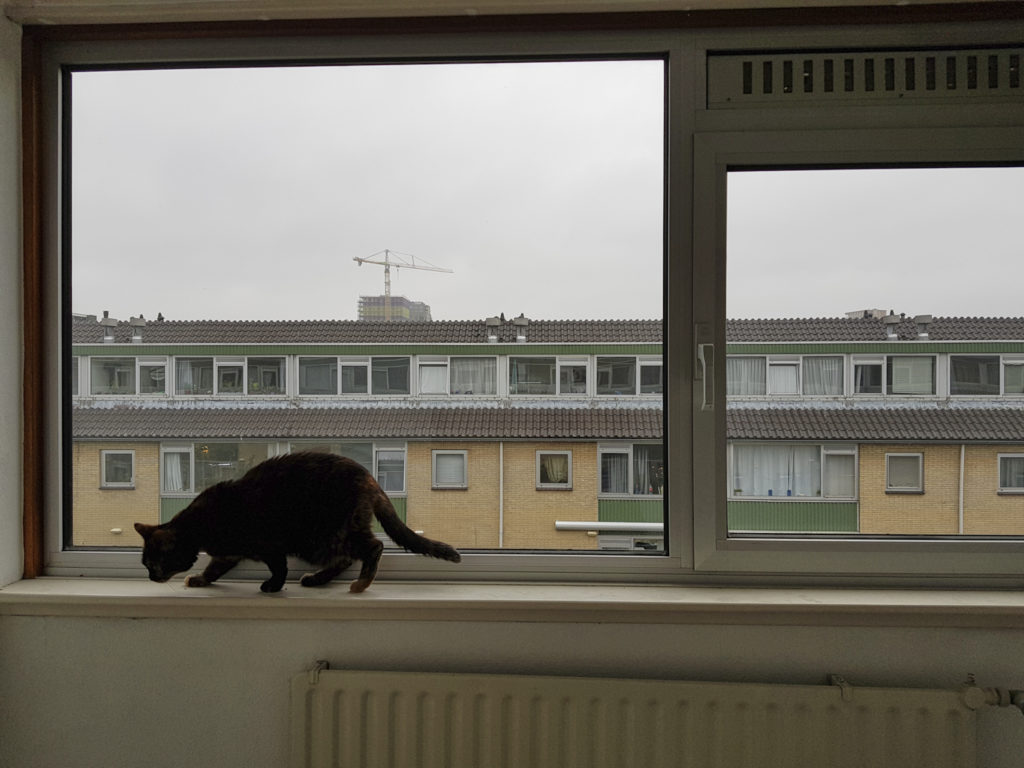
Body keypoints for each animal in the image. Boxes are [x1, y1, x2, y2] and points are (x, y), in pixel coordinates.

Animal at [134, 450, 462, 593]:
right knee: (346, 558)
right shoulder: (228, 553)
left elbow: (279, 567)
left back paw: (361, 583)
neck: (201, 524)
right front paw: (201, 580)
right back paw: (318, 579)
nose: (149, 577)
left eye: (153, 563)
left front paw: (273, 586)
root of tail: (369, 478)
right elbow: (214, 569)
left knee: (373, 548)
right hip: (326, 540)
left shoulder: (269, 545)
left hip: (326, 534)